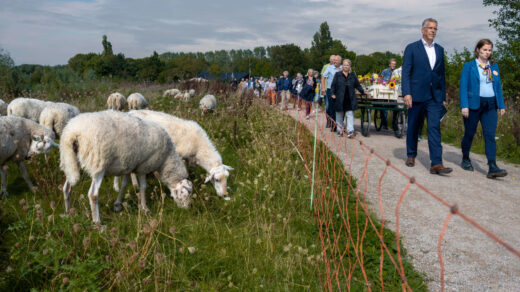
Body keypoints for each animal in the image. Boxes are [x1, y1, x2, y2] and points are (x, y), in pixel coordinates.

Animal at [59, 110, 193, 224]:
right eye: (184, 195)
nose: (187, 210)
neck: (166, 160)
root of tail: (73, 133)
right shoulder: (144, 166)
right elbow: (143, 187)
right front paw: (145, 208)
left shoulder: (129, 165)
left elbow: (124, 184)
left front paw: (118, 204)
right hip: (98, 163)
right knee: (93, 194)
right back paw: (98, 223)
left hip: (70, 160)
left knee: (66, 188)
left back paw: (68, 212)